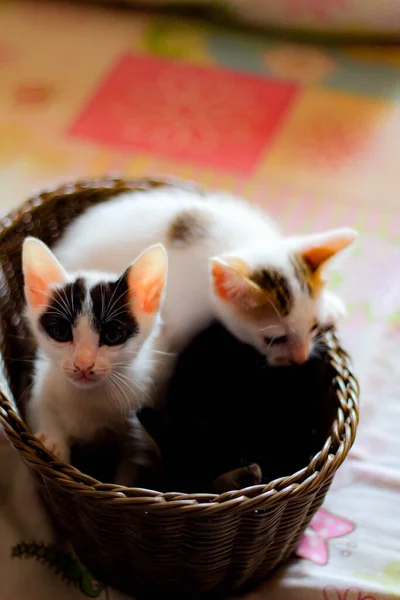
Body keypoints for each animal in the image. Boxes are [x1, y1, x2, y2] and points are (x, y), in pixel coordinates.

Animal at [23, 237, 167, 480]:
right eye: (61, 332)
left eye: (112, 336)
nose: (83, 363)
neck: (87, 398)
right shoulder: (41, 388)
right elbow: (43, 408)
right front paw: (53, 443)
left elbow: (128, 468)